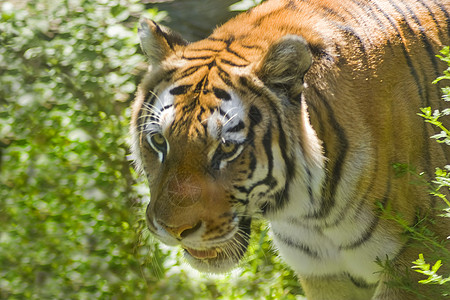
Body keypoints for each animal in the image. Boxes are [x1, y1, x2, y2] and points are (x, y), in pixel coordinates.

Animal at [128, 1, 448, 298]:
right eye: (159, 142)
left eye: (227, 148)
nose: (175, 231)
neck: (312, 215)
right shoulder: (323, 272)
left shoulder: (419, 257)